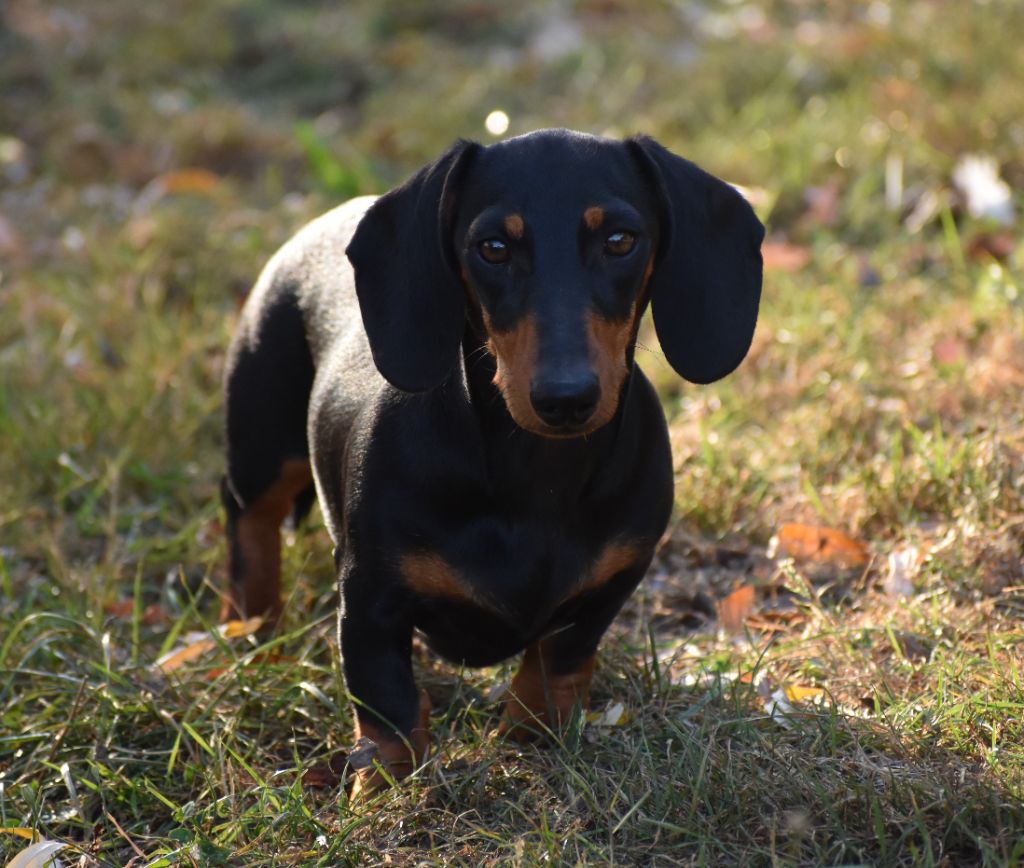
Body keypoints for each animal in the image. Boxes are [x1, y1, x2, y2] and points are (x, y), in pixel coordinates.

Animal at [220, 125, 765, 798]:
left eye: (620, 240)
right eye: (494, 247)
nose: (566, 398)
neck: (537, 477)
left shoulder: (610, 584)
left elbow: (556, 665)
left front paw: (531, 739)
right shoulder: (370, 599)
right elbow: (389, 706)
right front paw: (384, 794)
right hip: (262, 441)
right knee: (249, 524)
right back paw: (252, 631)